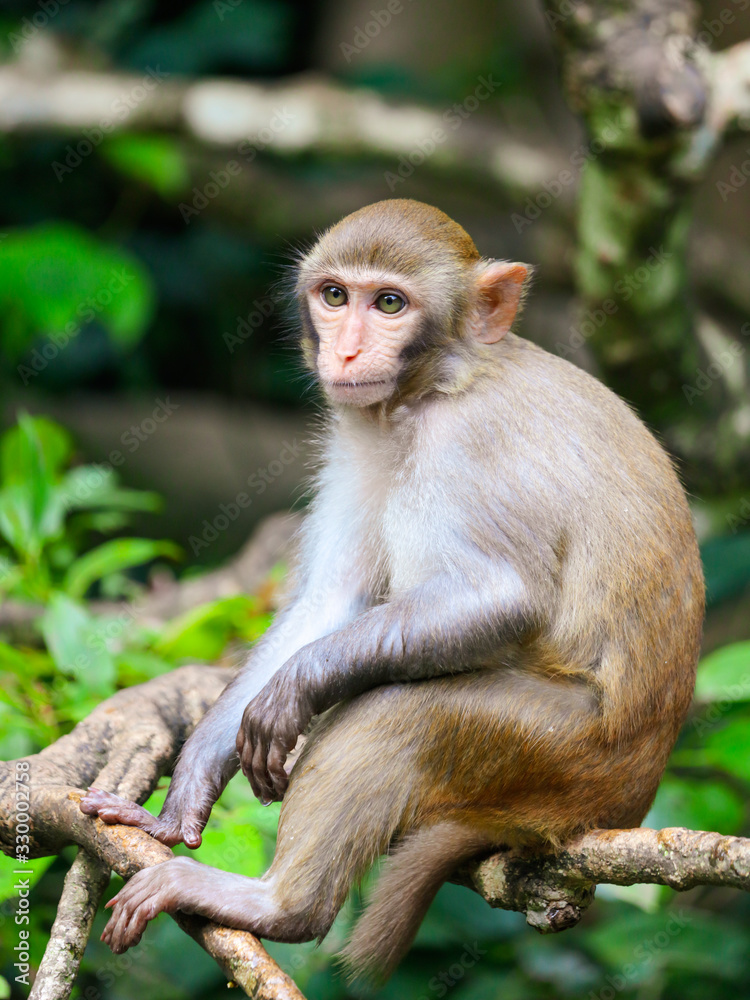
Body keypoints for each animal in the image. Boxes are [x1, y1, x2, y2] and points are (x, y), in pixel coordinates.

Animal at [78, 199, 704, 980]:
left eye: (390, 304)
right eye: (335, 295)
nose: (345, 354)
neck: (430, 390)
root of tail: (626, 803)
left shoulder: (471, 443)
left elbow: (500, 598)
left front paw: (290, 690)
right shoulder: (356, 436)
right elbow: (330, 602)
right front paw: (185, 793)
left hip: (568, 752)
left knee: (398, 709)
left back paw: (280, 906)